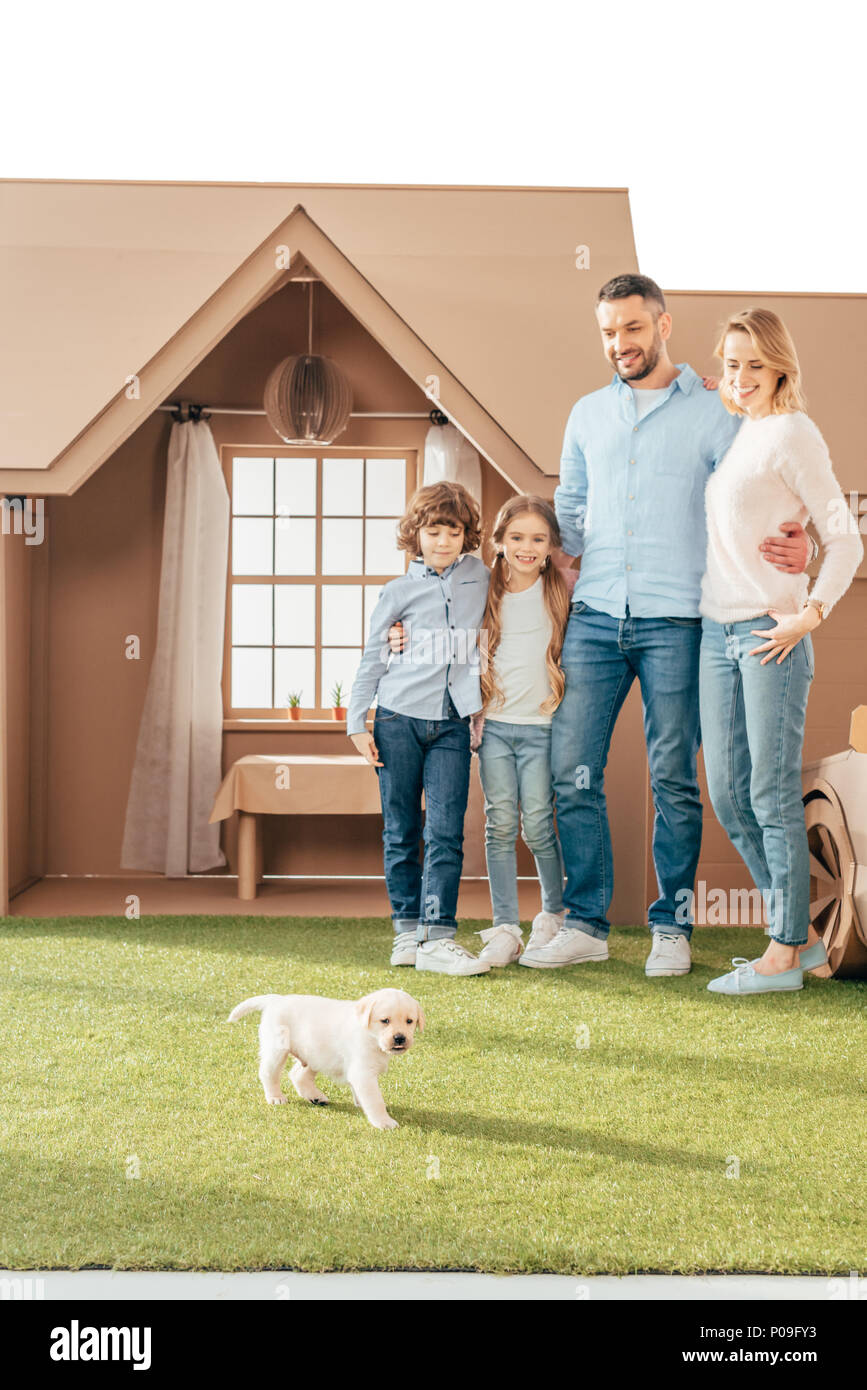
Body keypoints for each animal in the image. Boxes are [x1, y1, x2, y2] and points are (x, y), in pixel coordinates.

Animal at [226, 989, 422, 1128]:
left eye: (409, 1021)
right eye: (385, 1021)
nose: (400, 1038)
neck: (371, 1036)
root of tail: (276, 999)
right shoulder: (363, 1073)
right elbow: (375, 1100)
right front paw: (384, 1122)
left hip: (314, 1053)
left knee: (298, 1075)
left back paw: (315, 1097)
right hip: (277, 1048)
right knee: (268, 1073)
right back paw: (275, 1097)